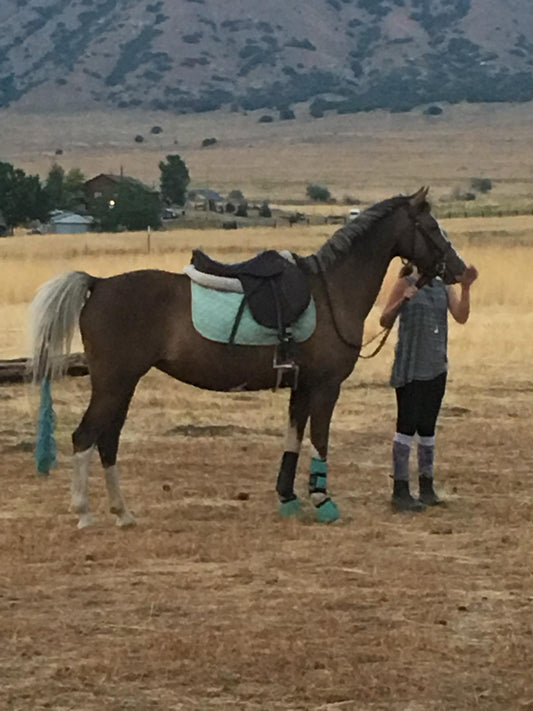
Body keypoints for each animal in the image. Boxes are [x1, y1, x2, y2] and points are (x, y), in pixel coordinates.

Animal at [29, 187, 466, 529]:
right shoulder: (325, 387)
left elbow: (293, 438)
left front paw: (288, 497)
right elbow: (320, 440)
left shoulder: (301, 387)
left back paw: (122, 512)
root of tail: (99, 284)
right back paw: (84, 512)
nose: (460, 269)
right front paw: (323, 500)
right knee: (85, 436)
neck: (332, 290)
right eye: (431, 228)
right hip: (114, 383)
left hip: (122, 385)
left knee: (108, 440)